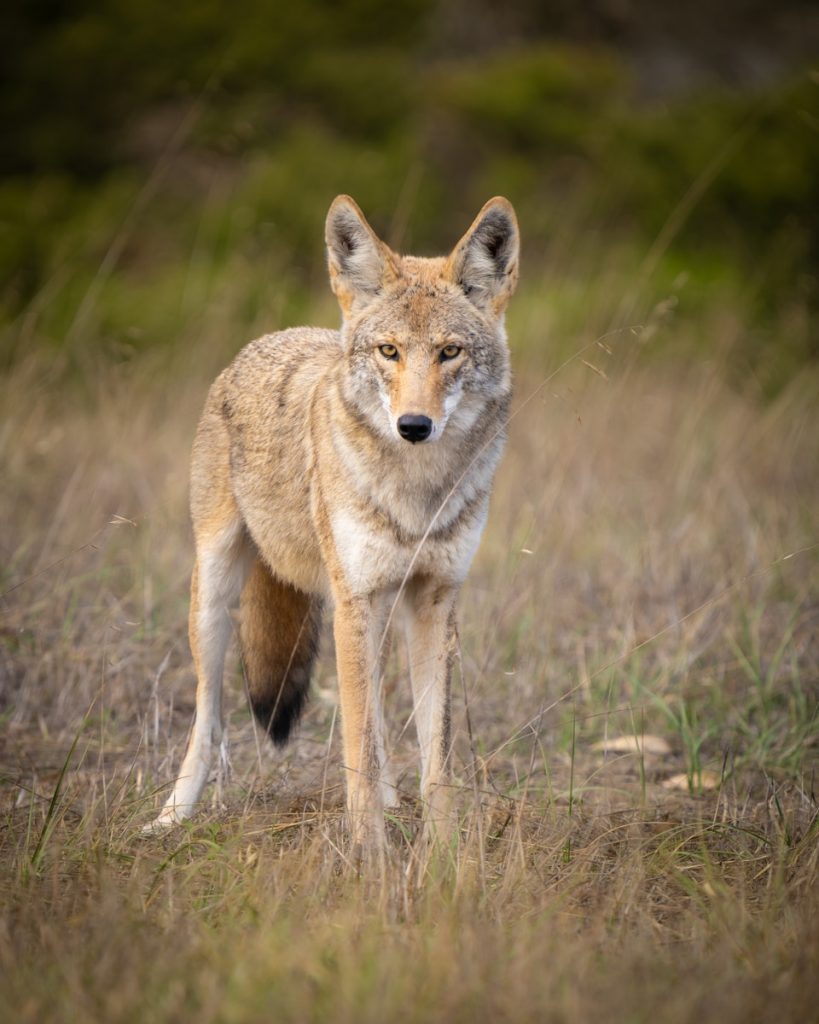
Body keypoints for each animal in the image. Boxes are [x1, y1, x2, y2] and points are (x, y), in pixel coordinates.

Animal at [150, 194, 519, 851]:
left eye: (449, 352)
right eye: (389, 351)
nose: (414, 425)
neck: (416, 490)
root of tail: (272, 337)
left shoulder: (434, 600)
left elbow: (437, 756)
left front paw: (445, 856)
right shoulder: (355, 601)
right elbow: (358, 749)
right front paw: (370, 856)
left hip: (377, 612)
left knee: (372, 714)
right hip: (216, 594)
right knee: (207, 717)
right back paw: (172, 816)